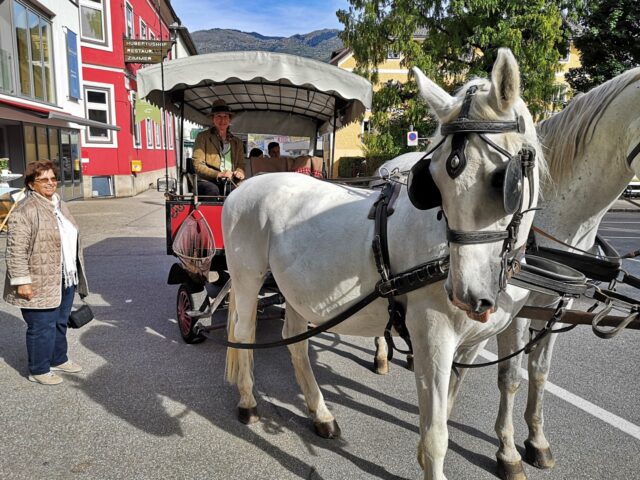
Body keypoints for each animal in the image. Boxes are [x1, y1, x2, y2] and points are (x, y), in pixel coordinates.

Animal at [222, 49, 544, 480]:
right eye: (434, 179)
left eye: (501, 180)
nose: (467, 294)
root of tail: (242, 186)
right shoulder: (432, 338)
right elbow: (436, 436)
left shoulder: (475, 339)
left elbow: (447, 410)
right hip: (246, 277)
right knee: (244, 331)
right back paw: (247, 402)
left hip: (296, 289)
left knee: (295, 341)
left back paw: (320, 413)